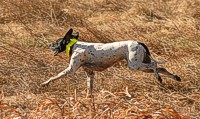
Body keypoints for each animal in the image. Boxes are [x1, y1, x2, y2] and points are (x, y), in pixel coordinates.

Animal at [41, 28, 181, 96]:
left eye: (56, 42)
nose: (48, 44)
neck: (74, 45)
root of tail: (138, 42)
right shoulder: (90, 74)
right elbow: (89, 89)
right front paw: (88, 99)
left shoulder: (70, 69)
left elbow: (54, 77)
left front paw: (45, 83)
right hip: (140, 65)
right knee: (161, 68)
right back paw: (175, 77)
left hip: (135, 65)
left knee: (154, 65)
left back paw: (159, 79)